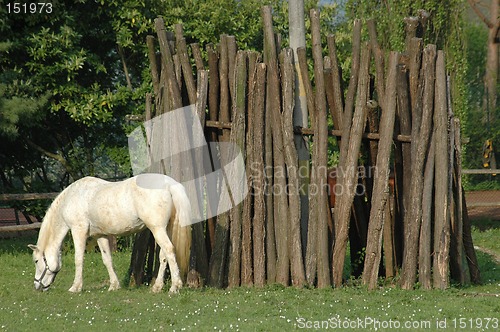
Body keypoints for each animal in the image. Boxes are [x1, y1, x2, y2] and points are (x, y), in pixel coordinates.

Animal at [27, 174, 191, 294]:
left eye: (36, 261)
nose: (37, 286)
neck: (72, 198)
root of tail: (169, 184)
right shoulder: (100, 235)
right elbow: (107, 260)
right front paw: (114, 285)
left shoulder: (78, 231)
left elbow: (78, 259)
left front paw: (76, 287)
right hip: (165, 228)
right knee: (164, 255)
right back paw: (157, 287)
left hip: (157, 229)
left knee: (169, 250)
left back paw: (175, 287)